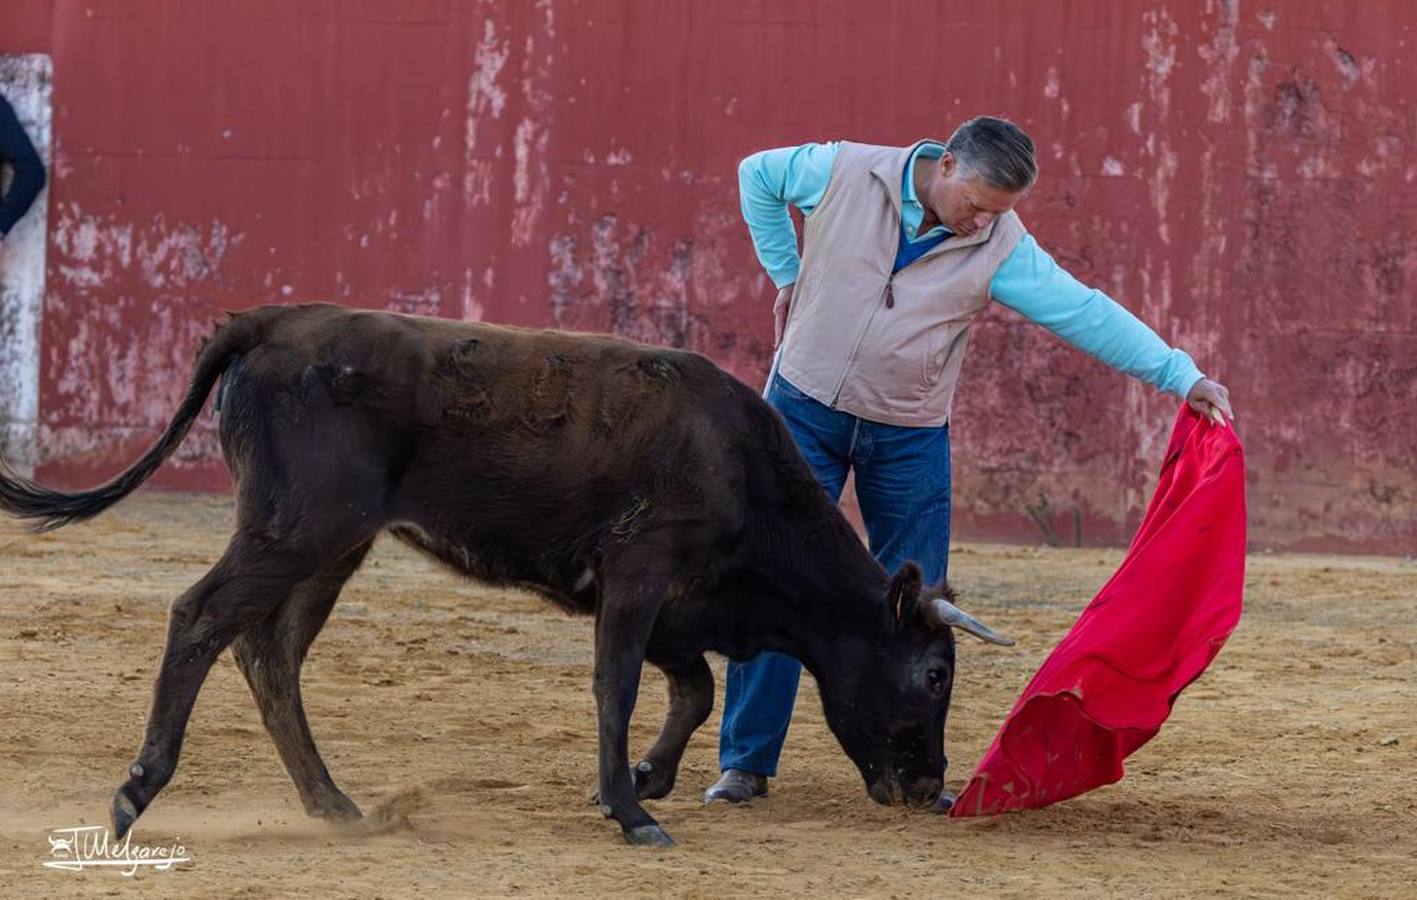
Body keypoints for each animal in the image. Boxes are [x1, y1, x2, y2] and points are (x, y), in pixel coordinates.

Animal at [0, 306, 1008, 850]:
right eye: (932, 673)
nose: (930, 785)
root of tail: (277, 322)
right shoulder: (641, 571)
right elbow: (619, 685)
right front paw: (630, 810)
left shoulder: (672, 605)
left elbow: (692, 689)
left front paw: (647, 778)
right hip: (297, 527)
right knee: (200, 616)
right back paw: (136, 792)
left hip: (333, 545)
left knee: (270, 652)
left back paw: (335, 806)